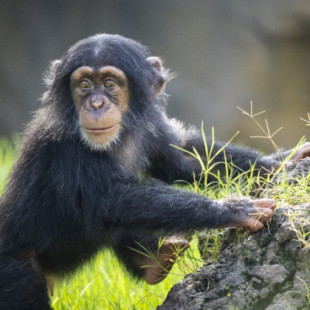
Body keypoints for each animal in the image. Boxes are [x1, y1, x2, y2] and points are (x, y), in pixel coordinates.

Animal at [1, 32, 308, 308]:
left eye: (109, 83)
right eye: (84, 84)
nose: (96, 103)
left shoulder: (153, 125)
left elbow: (183, 159)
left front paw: (283, 160)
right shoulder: (65, 145)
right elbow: (113, 198)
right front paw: (234, 208)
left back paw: (155, 261)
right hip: (16, 271)